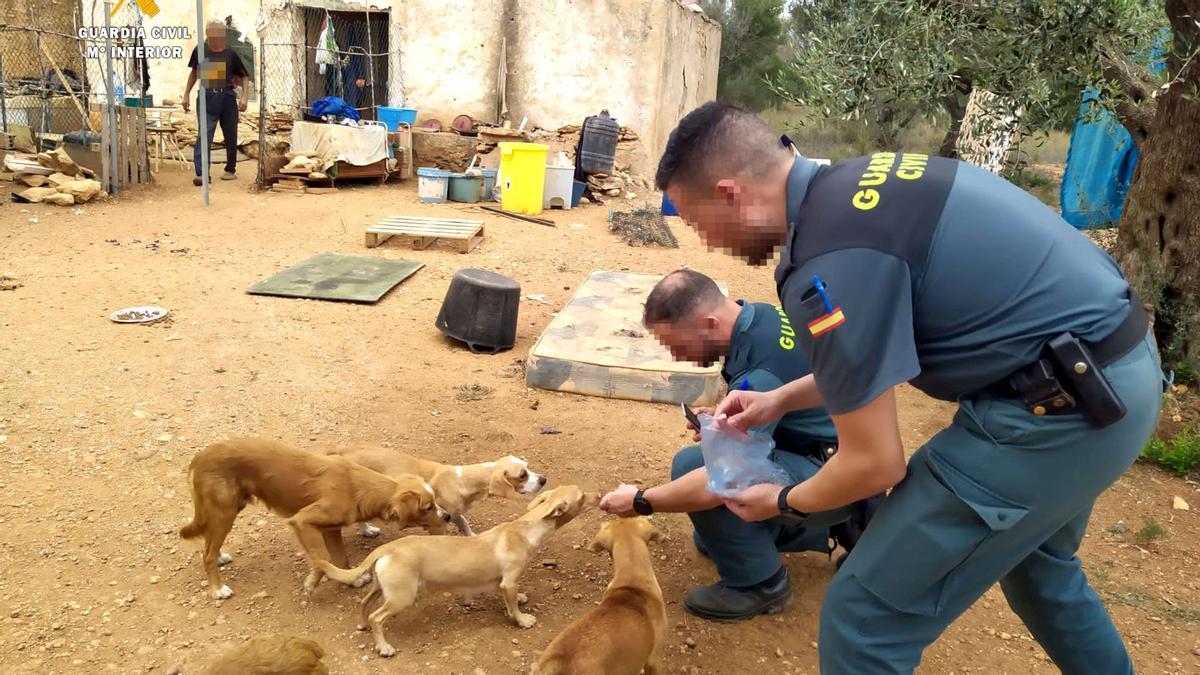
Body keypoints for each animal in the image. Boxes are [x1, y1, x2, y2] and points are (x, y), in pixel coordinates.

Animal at [180, 432, 451, 595]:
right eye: (428, 507)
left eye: (435, 503)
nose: (447, 516)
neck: (357, 485)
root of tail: (199, 456)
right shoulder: (302, 521)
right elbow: (321, 558)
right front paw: (312, 583)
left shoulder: (331, 529)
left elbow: (340, 559)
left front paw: (351, 579)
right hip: (224, 512)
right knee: (206, 554)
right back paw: (217, 589)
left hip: (226, 511)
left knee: (209, 544)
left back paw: (221, 557)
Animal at [314, 480, 600, 653]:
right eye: (582, 496)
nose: (599, 494)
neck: (524, 529)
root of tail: (388, 548)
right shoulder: (508, 580)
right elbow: (513, 608)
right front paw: (521, 620)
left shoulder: (505, 582)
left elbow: (512, 596)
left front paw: (519, 598)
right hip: (401, 597)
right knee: (377, 617)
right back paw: (383, 647)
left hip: (383, 588)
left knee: (364, 604)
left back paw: (362, 625)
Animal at [331, 444, 549, 533]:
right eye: (522, 475)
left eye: (528, 466)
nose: (544, 480)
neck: (462, 480)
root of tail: (343, 453)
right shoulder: (437, 523)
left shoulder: (454, 513)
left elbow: (466, 526)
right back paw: (366, 530)